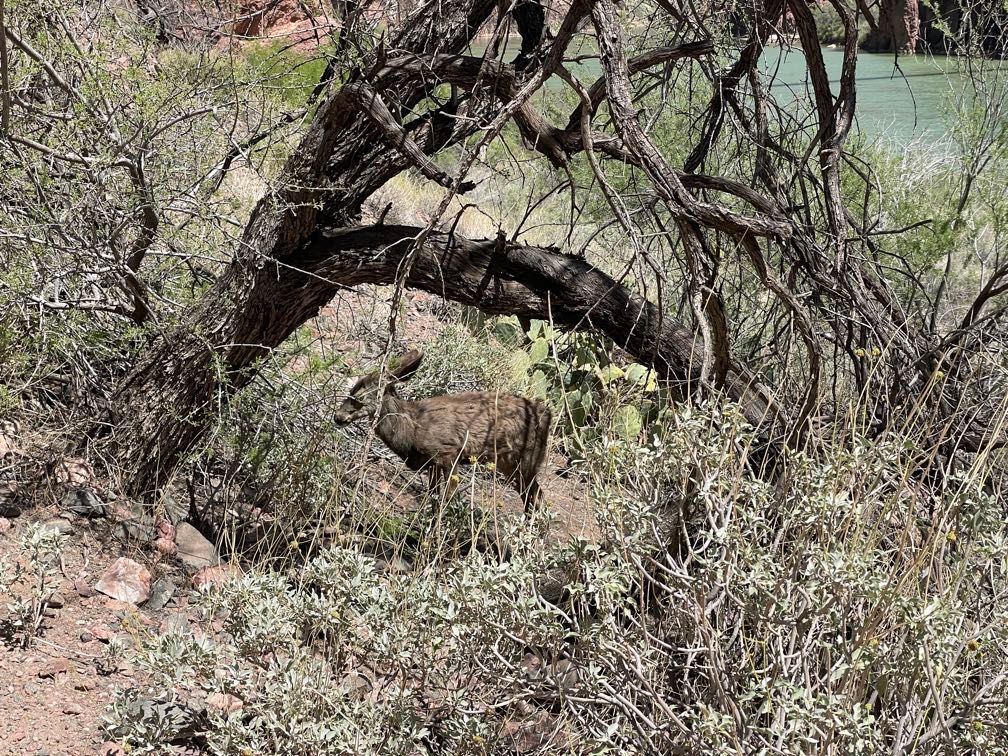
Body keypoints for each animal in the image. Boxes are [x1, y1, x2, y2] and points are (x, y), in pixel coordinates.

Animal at [332, 352, 552, 512]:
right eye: (351, 390)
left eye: (359, 397)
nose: (338, 416)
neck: (412, 429)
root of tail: (547, 414)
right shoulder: (432, 464)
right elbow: (433, 497)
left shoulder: (449, 452)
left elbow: (447, 498)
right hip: (511, 464)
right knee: (535, 498)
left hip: (525, 460)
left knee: (537, 499)